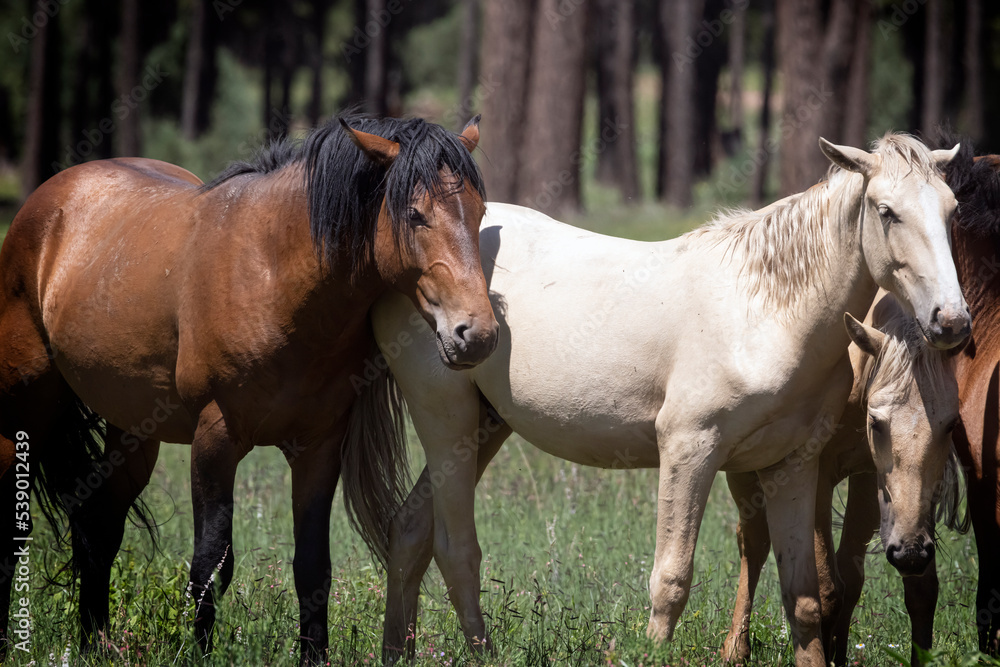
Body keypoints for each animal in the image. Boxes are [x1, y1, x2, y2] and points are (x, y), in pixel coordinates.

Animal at [0, 113, 498, 664]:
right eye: (414, 215)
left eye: (478, 212)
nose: (477, 334)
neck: (272, 275)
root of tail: (52, 197)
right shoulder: (215, 441)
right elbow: (210, 565)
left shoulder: (318, 449)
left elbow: (312, 568)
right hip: (24, 412)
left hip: (131, 430)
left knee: (99, 525)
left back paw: (95, 645)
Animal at [724, 292, 964, 667]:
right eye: (877, 423)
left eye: (951, 424)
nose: (910, 553)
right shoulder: (815, 477)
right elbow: (826, 589)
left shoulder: (870, 480)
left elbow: (891, 585)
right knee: (753, 543)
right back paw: (736, 647)